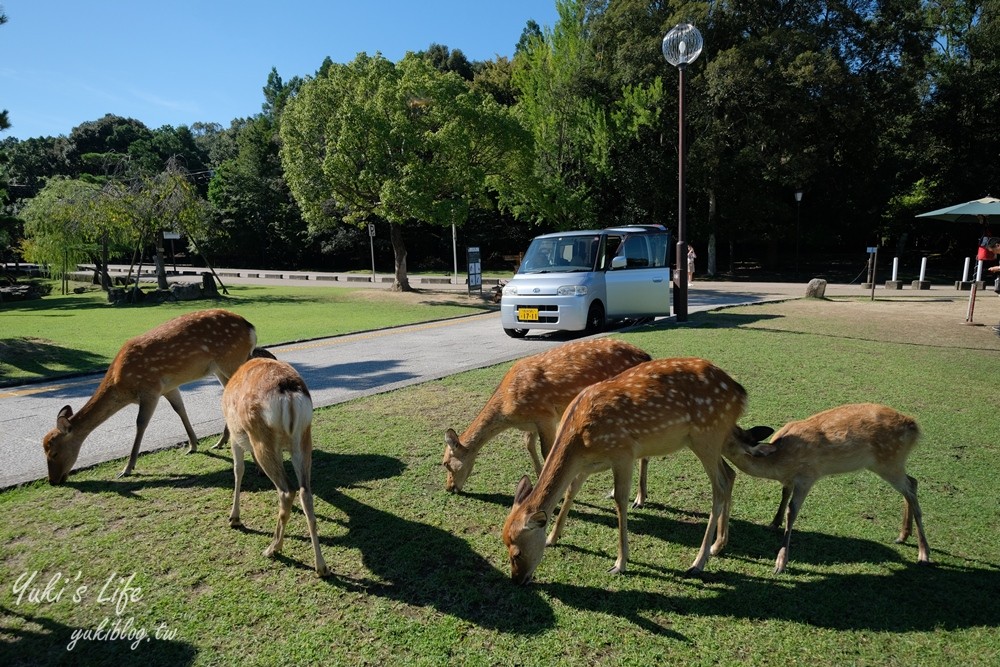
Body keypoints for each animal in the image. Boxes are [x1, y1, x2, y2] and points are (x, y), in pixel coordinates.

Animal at [40, 308, 258, 486]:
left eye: (54, 452)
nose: (52, 481)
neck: (121, 384)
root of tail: (250, 327)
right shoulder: (168, 387)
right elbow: (180, 410)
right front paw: (193, 445)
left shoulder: (150, 388)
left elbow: (141, 423)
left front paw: (127, 468)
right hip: (220, 368)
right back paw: (220, 441)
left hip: (230, 360)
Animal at [222, 358, 328, 576]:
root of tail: (288, 392)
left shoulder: (235, 437)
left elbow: (238, 470)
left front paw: (234, 518)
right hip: (303, 439)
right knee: (305, 491)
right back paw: (321, 566)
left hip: (262, 440)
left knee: (287, 490)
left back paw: (273, 548)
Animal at [444, 342, 648, 494]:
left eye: (445, 464)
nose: (449, 488)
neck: (508, 410)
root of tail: (646, 356)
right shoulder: (532, 423)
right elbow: (528, 444)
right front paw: (538, 477)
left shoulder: (546, 415)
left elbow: (546, 451)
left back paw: (636, 497)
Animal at [504, 354, 748, 584]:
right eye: (504, 544)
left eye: (516, 553)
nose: (517, 580)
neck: (579, 440)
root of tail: (741, 393)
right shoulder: (588, 464)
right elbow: (571, 490)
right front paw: (552, 538)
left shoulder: (622, 452)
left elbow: (620, 501)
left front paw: (619, 563)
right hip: (712, 439)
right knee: (730, 474)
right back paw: (718, 545)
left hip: (706, 435)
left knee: (720, 485)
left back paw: (698, 562)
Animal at [728, 402, 928, 576]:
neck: (779, 464)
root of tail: (914, 426)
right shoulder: (790, 480)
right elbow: (784, 494)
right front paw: (773, 524)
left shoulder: (807, 476)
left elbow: (791, 512)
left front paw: (780, 564)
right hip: (891, 463)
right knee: (912, 482)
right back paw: (902, 536)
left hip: (889, 461)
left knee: (910, 487)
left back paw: (924, 555)